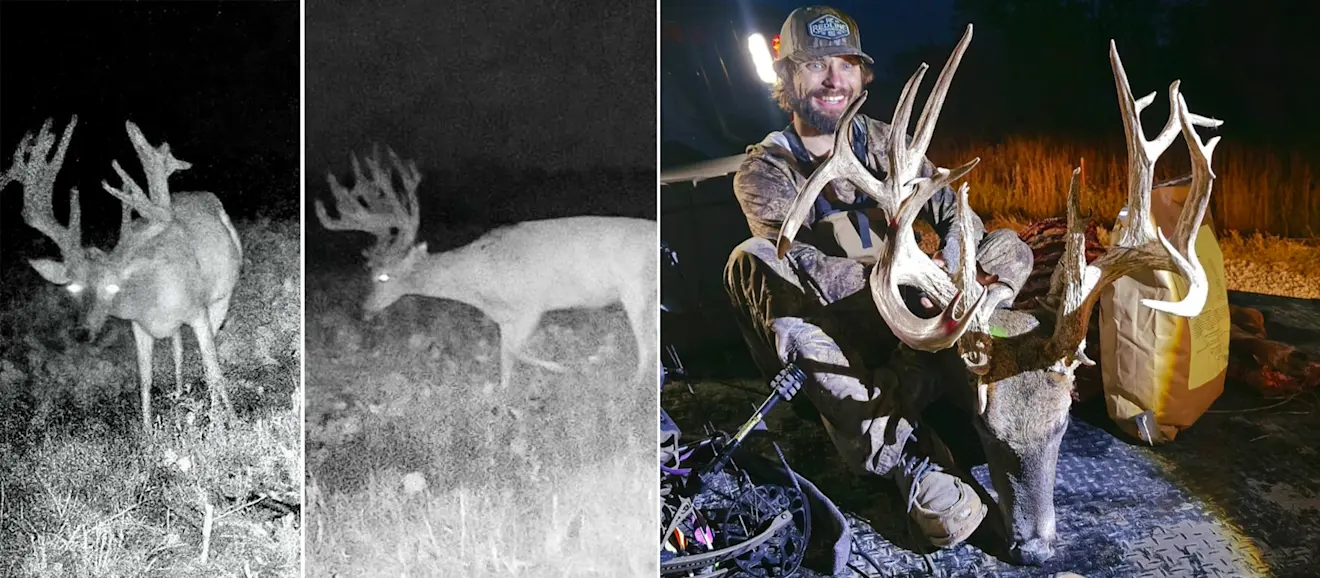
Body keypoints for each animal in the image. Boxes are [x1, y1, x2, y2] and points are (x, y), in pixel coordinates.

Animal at [13, 117, 245, 430]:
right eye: (73, 287)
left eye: (112, 287)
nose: (81, 333)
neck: (153, 297)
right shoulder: (139, 326)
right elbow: (145, 380)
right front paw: (147, 433)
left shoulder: (198, 312)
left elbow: (213, 370)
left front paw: (225, 422)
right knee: (178, 350)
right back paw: (179, 393)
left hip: (222, 297)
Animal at [315, 146, 665, 390]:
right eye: (368, 272)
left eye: (382, 276)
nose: (364, 310)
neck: (479, 283)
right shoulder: (505, 319)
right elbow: (504, 360)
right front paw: (503, 395)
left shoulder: (530, 305)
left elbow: (513, 352)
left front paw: (565, 368)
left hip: (636, 289)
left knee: (647, 344)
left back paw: (633, 385)